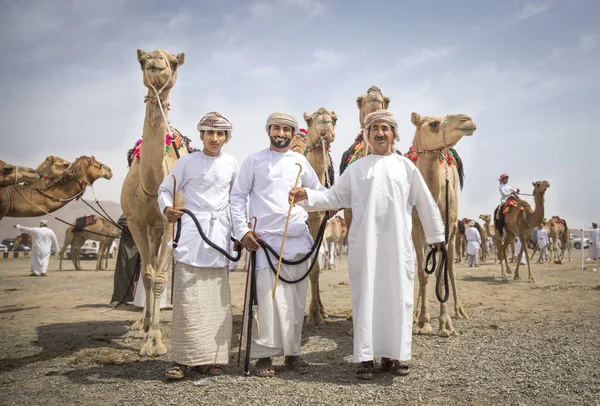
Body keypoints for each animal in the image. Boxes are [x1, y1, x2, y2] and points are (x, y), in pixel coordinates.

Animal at [410, 111, 476, 336]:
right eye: (433, 124)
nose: (467, 120)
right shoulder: (416, 226)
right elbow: (423, 273)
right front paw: (423, 321)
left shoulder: (446, 228)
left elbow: (443, 272)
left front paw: (445, 324)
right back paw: (415, 314)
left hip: (455, 229)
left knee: (451, 270)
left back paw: (460, 311)